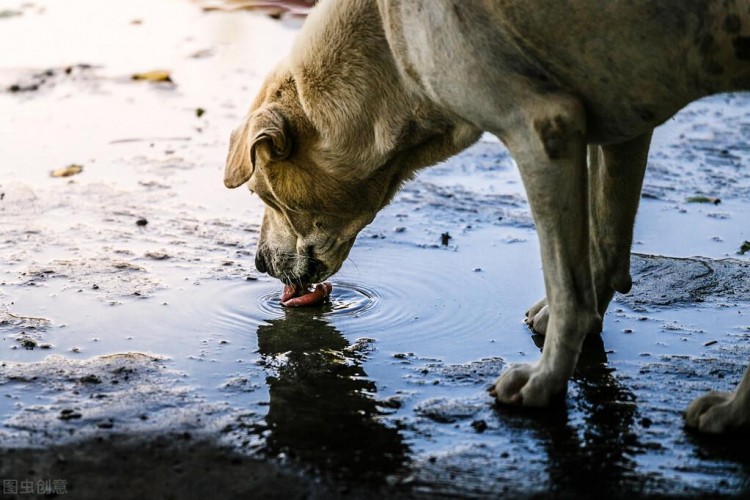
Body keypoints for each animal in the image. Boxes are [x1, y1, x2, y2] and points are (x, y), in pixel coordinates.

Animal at [225, 0, 750, 434]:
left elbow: (568, 288)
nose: (258, 264)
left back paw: (730, 412)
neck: (389, 46)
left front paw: (545, 382)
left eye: (264, 194)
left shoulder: (542, 130)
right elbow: (605, 246)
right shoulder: (623, 126)